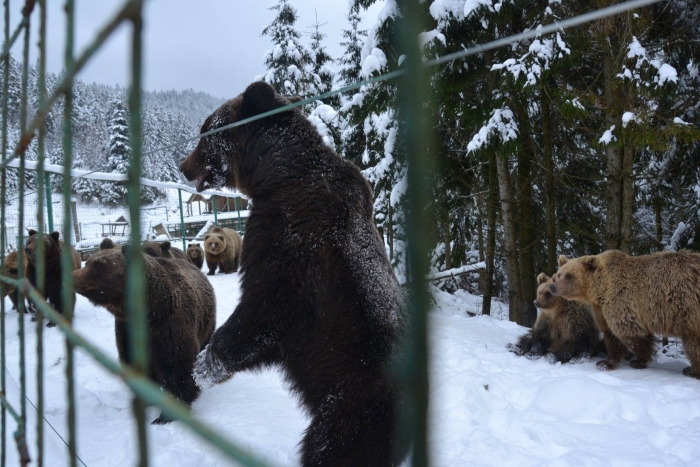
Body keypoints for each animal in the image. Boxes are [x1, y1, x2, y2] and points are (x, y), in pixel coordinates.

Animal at [73, 247, 216, 426]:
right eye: (89, 262)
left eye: (98, 265)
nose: (73, 276)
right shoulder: (127, 330)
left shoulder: (169, 328)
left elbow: (177, 367)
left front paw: (166, 415)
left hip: (206, 325)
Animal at [180, 82, 410, 466]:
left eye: (205, 131)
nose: (183, 166)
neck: (278, 174)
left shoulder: (291, 248)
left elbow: (261, 313)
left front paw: (204, 364)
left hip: (351, 404)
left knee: (330, 448)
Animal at [552, 250, 700, 378]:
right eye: (559, 274)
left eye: (569, 276)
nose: (553, 287)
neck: (600, 292)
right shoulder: (600, 309)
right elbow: (610, 334)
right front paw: (605, 362)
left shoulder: (622, 301)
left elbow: (630, 333)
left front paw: (637, 361)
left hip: (688, 307)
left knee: (693, 344)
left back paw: (691, 370)